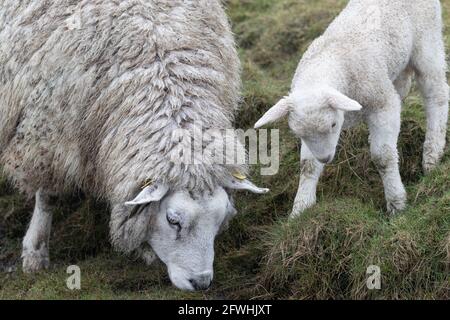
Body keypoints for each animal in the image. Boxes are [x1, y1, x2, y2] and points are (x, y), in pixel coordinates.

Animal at [0, 0, 268, 292]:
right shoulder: (47, 137)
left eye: (221, 219)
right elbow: (48, 197)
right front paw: (35, 252)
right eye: (173, 220)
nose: (201, 283)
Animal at [255, 0, 448, 216]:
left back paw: (432, 154)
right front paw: (300, 208)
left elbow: (383, 157)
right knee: (403, 85)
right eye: (298, 134)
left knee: (437, 93)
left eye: (333, 125)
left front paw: (396, 203)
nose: (325, 158)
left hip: (427, 42)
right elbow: (308, 165)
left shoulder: (382, 103)